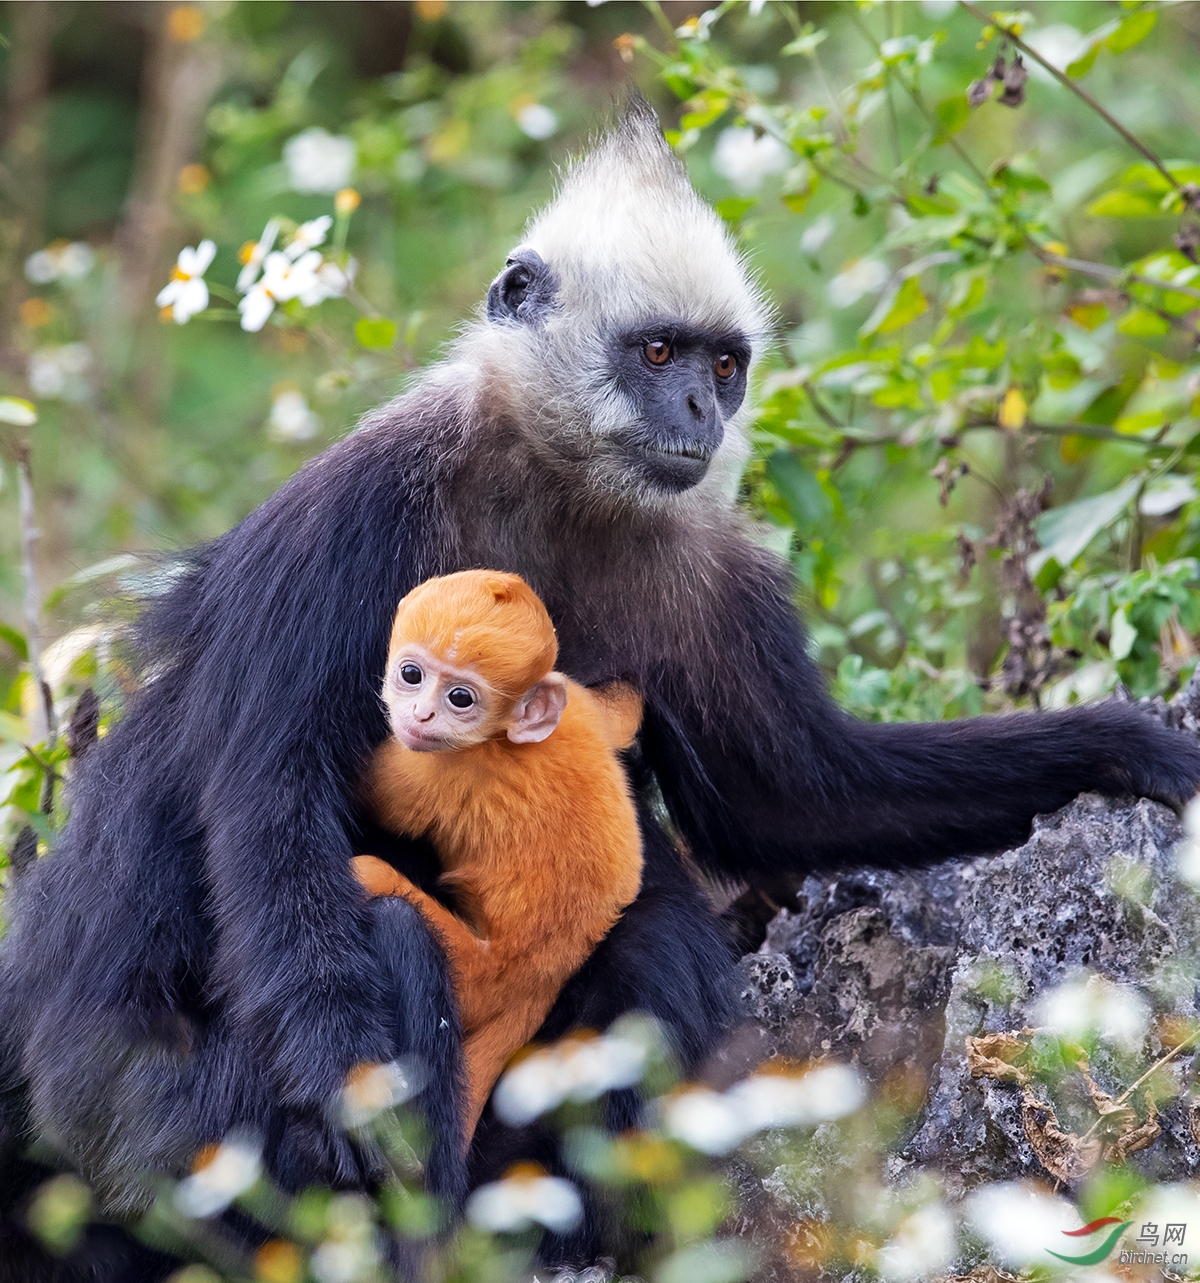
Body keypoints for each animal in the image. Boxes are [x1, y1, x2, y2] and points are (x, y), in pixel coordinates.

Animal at [349, 569, 641, 1144]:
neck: (503, 736)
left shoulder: (439, 770)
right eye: (411, 674)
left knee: (368, 876)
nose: (421, 713)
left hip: (474, 978)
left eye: (461, 698)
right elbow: (620, 715)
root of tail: (543, 978)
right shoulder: (577, 704)